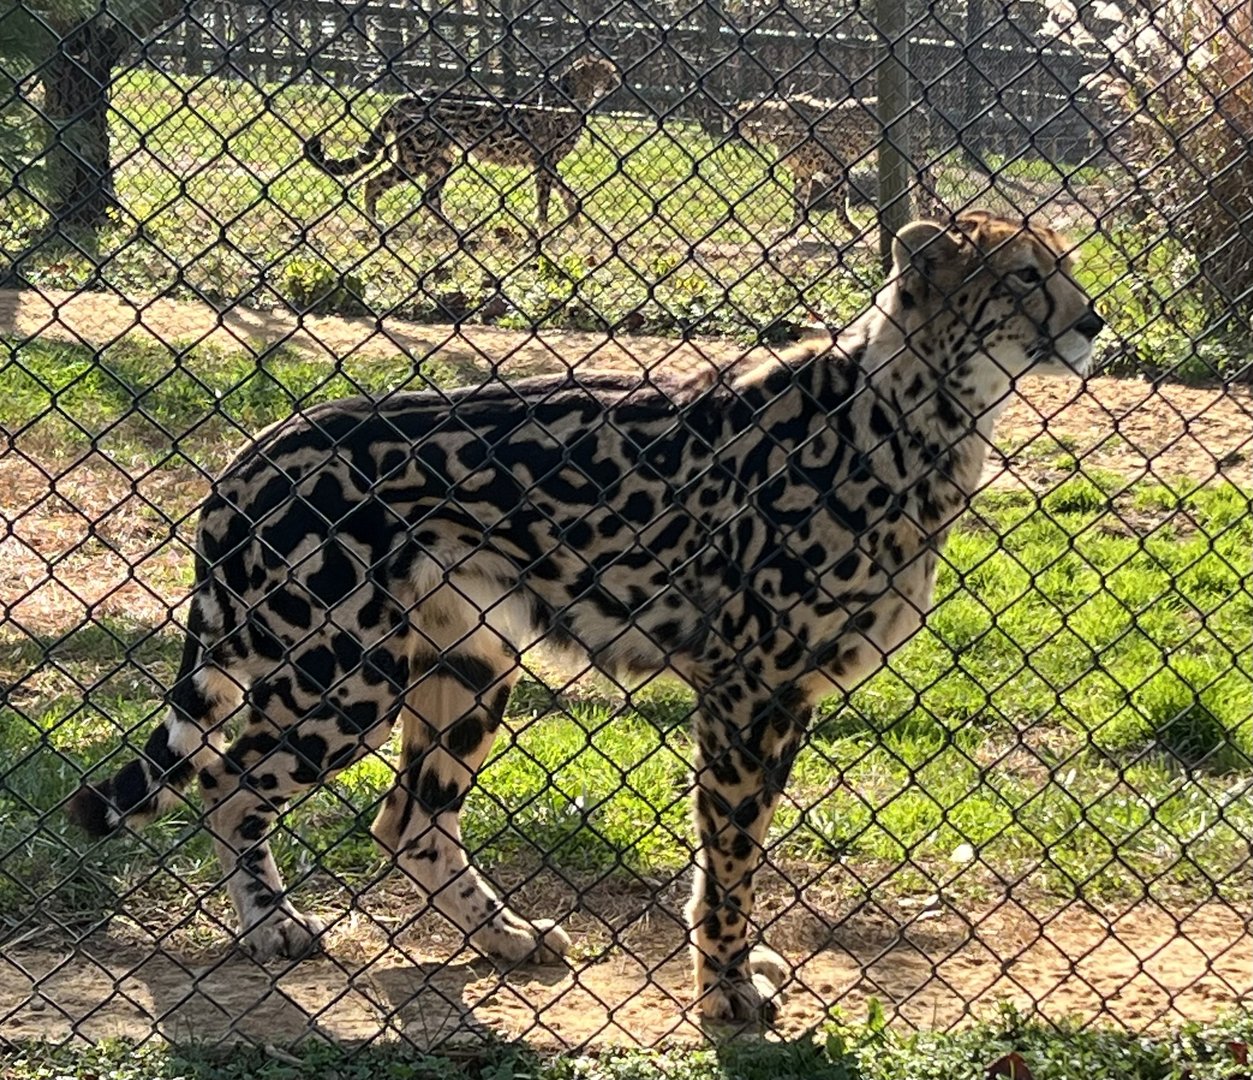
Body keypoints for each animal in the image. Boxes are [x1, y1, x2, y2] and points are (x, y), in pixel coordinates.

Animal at [69, 211, 1103, 1025]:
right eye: (1023, 275)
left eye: (1068, 264)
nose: (1094, 322)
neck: (912, 414)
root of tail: (253, 449)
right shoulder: (747, 688)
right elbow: (731, 850)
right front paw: (726, 988)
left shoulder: (787, 697)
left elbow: (743, 845)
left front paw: (734, 966)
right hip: (344, 675)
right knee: (230, 781)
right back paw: (273, 923)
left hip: (468, 664)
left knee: (408, 817)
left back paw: (504, 936)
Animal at [305, 55, 621, 231]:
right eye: (608, 72)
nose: (617, 82)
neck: (573, 94)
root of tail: (402, 99)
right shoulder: (543, 160)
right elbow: (547, 197)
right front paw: (545, 227)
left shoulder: (545, 162)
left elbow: (567, 192)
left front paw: (575, 223)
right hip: (416, 159)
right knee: (373, 183)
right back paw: (376, 223)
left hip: (440, 161)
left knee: (429, 199)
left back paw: (456, 231)